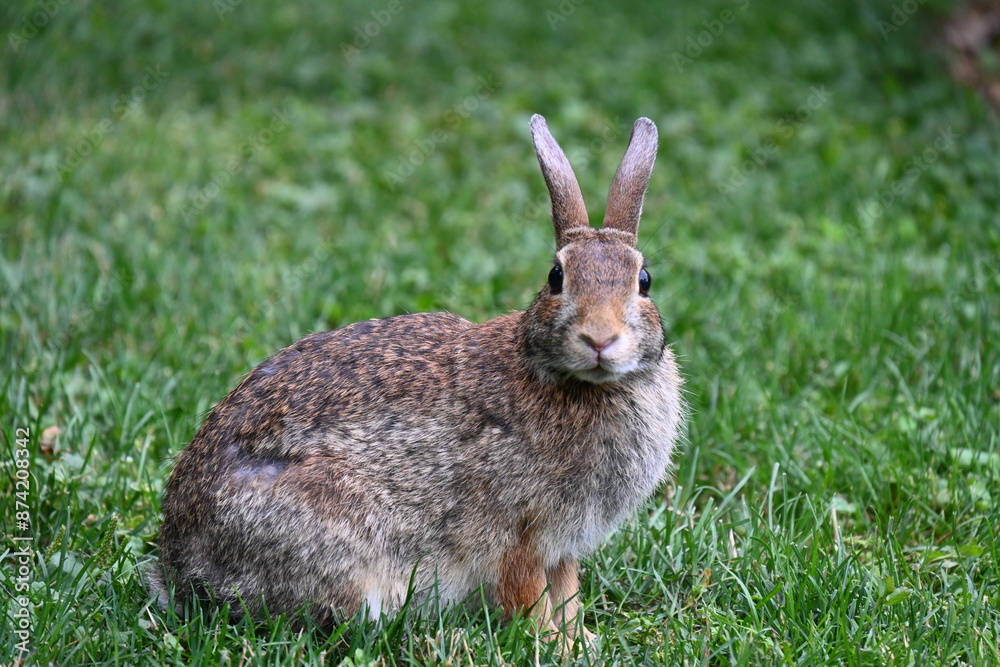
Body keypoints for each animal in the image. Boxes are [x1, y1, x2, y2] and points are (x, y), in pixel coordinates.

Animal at [151, 114, 685, 640]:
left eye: (644, 282)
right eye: (556, 278)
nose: (600, 338)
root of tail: (179, 566)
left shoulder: (563, 545)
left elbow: (566, 591)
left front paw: (580, 641)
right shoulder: (519, 533)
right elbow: (528, 595)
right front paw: (550, 645)